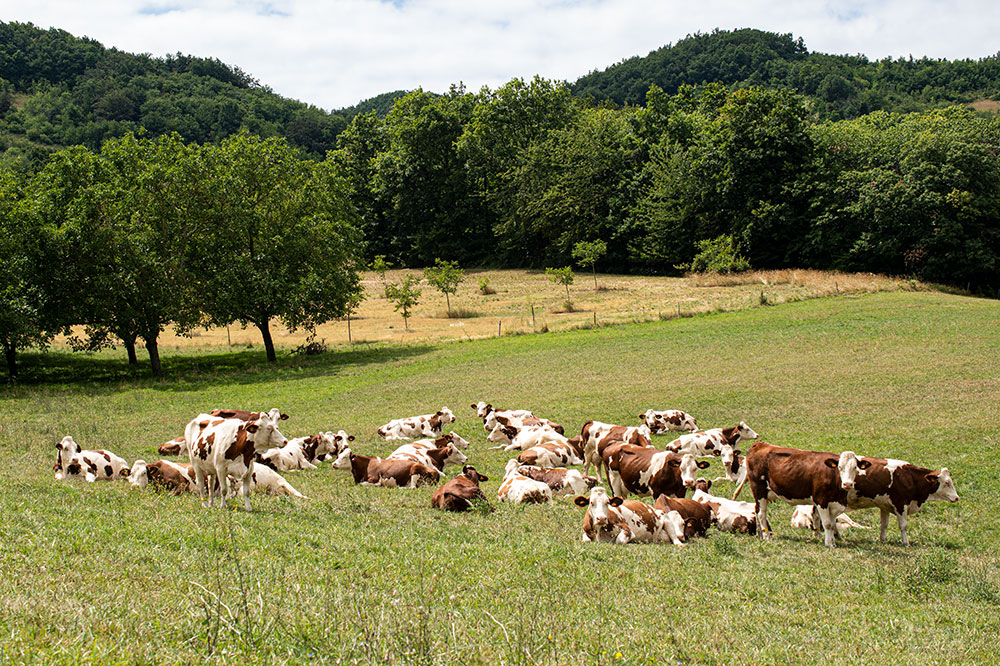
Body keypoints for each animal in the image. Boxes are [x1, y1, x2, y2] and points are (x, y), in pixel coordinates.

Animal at [740, 440, 872, 544]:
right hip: (759, 490)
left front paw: (832, 540)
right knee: (761, 514)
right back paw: (767, 536)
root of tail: (760, 444)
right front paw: (829, 544)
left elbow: (831, 522)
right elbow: (827, 523)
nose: (847, 484)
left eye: (855, 468)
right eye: (839, 467)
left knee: (756, 511)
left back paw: (760, 535)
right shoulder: (821, 500)